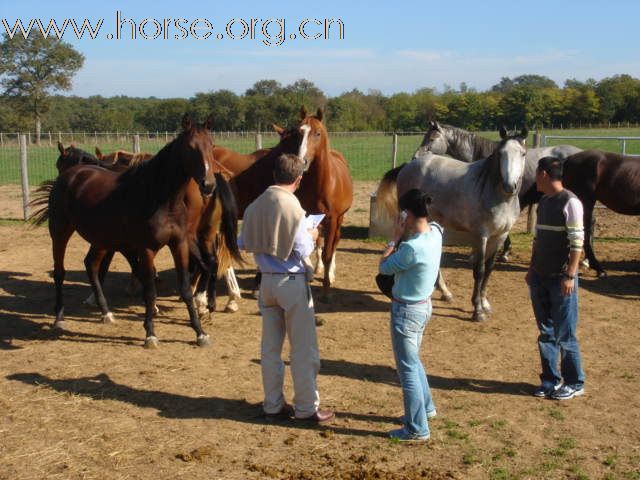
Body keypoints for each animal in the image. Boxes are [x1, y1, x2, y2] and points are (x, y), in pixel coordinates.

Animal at [33, 116, 222, 348]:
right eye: (190, 147)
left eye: (211, 145)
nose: (208, 185)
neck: (160, 198)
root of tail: (69, 177)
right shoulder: (145, 248)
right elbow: (149, 290)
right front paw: (150, 334)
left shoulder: (179, 244)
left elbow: (185, 289)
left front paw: (200, 332)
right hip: (60, 231)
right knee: (60, 272)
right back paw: (59, 318)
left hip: (100, 238)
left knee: (91, 265)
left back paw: (106, 313)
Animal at [378, 127, 528, 322]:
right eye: (500, 153)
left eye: (523, 154)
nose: (510, 186)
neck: (496, 194)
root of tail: (407, 166)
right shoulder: (481, 236)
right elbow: (479, 270)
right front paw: (477, 310)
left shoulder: (500, 235)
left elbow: (489, 268)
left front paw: (485, 303)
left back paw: (445, 292)